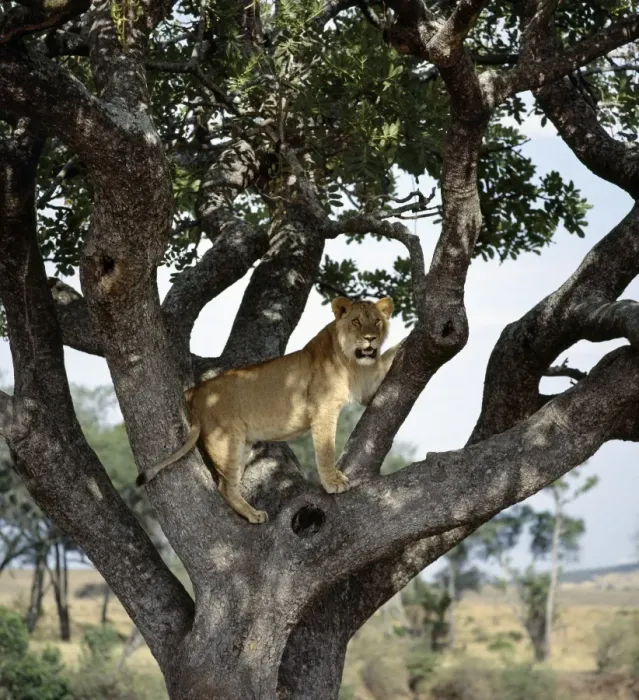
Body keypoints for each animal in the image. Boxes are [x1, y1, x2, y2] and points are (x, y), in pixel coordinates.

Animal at [136, 296, 399, 523]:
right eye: (356, 321)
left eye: (377, 321)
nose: (370, 339)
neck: (353, 362)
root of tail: (196, 391)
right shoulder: (323, 408)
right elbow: (325, 449)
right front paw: (332, 481)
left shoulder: (367, 390)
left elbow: (389, 356)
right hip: (226, 442)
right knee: (226, 486)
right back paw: (253, 514)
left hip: (241, 445)